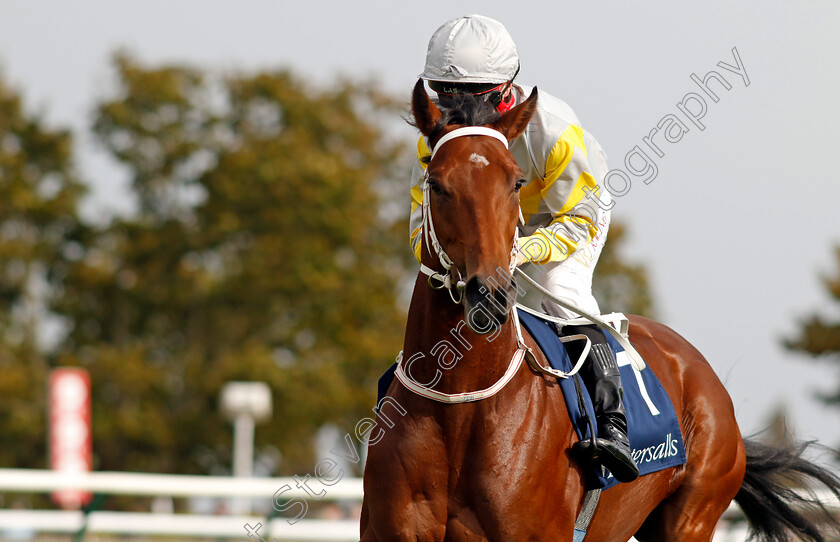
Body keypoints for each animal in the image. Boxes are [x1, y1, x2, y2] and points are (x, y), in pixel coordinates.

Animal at [360, 81, 840, 542]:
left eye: (515, 182)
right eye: (435, 184)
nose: (491, 293)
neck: (461, 408)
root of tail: (699, 369)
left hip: (693, 516)